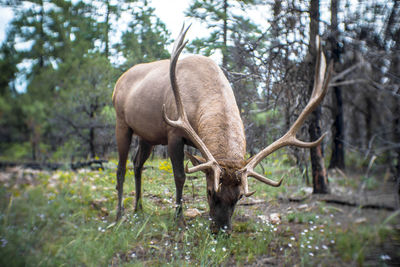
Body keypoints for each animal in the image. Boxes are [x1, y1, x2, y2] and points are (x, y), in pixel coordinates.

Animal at [111, 25, 332, 234]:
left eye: (239, 196)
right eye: (210, 192)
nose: (221, 230)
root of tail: (118, 81)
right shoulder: (173, 132)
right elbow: (180, 176)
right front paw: (179, 219)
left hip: (147, 136)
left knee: (137, 164)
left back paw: (139, 208)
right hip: (122, 123)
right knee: (121, 168)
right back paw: (119, 214)